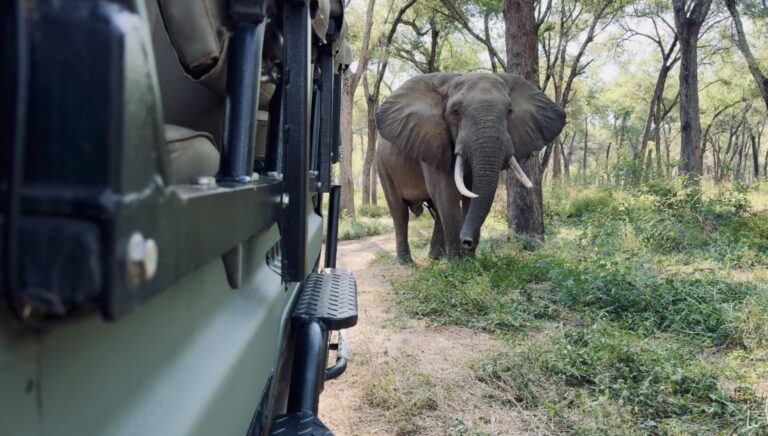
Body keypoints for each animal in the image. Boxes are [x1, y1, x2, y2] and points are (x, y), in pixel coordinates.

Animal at [375, 72, 566, 263]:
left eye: (510, 111)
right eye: (455, 112)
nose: (467, 241)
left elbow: (469, 193)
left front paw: (468, 260)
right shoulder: (433, 141)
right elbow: (446, 193)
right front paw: (458, 264)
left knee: (435, 209)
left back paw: (435, 258)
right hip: (383, 166)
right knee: (399, 211)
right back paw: (407, 262)